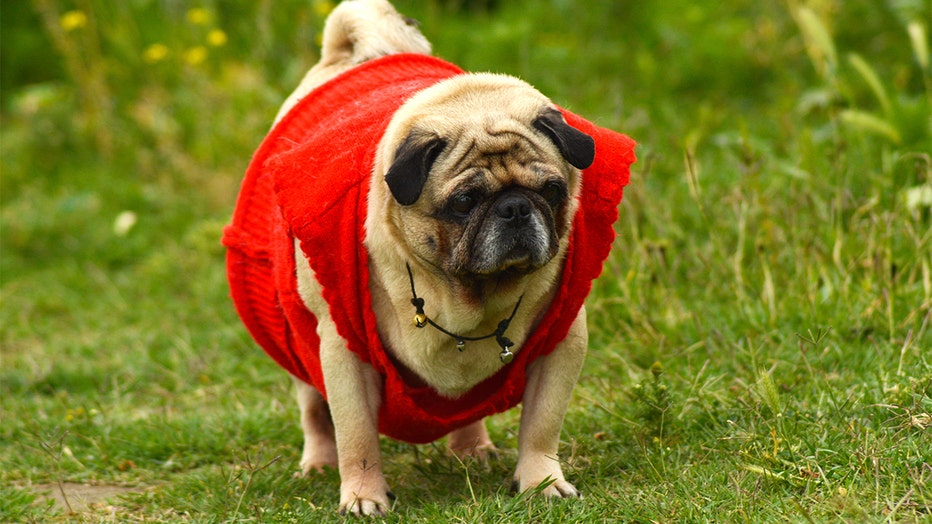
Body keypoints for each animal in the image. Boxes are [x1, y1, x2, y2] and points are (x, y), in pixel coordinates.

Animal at [222, 0, 636, 516]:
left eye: (551, 190)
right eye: (464, 202)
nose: (515, 208)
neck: (467, 294)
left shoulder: (562, 344)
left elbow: (542, 426)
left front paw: (542, 482)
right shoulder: (343, 355)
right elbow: (356, 438)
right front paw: (363, 496)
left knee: (466, 409)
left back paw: (473, 449)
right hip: (297, 339)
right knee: (316, 412)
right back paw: (318, 464)